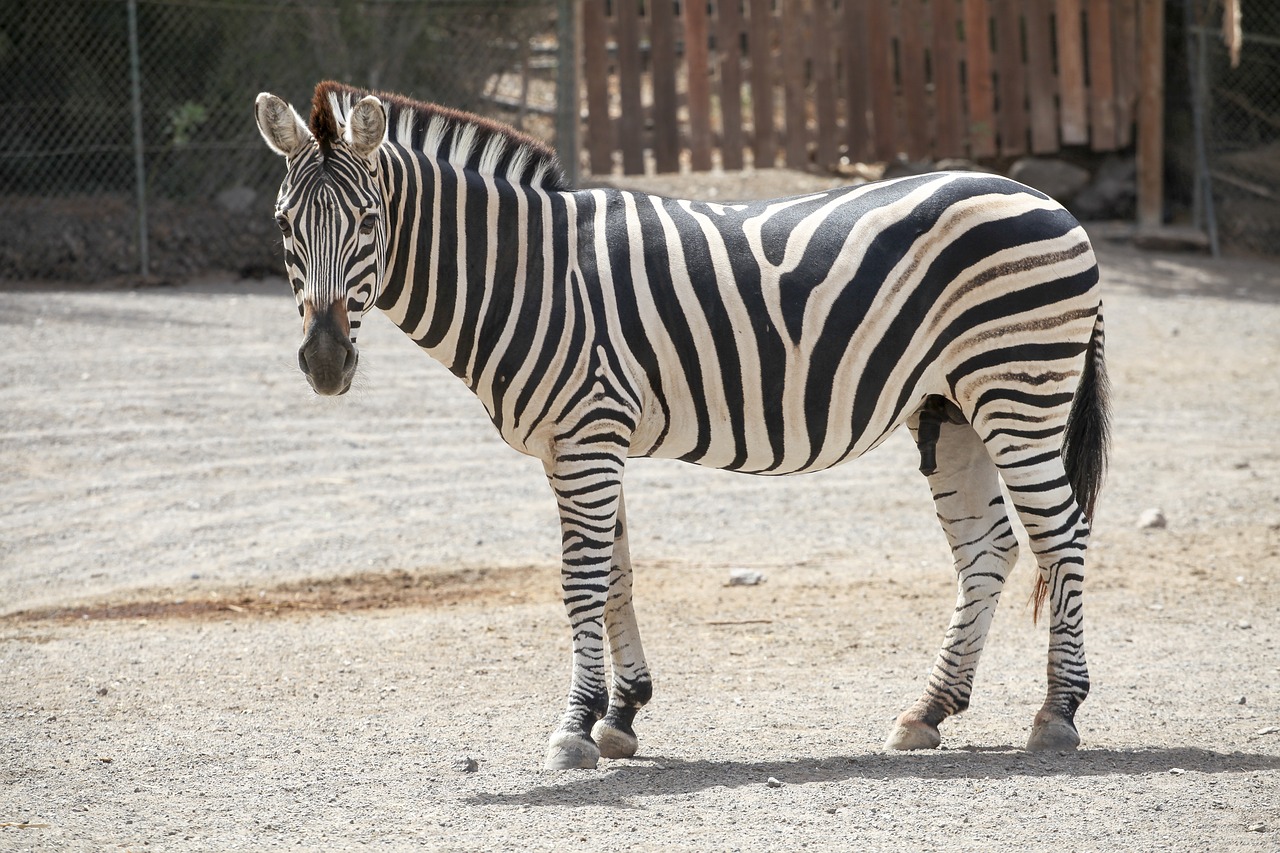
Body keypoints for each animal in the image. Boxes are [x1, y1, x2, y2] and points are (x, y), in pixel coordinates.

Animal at [254, 83, 1105, 768]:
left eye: (369, 220)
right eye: (284, 222)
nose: (325, 362)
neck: (526, 275)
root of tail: (1051, 202)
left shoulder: (588, 434)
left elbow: (581, 578)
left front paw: (574, 726)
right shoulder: (579, 442)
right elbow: (616, 573)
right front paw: (622, 713)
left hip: (1018, 391)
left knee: (1060, 535)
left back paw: (1057, 712)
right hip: (950, 408)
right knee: (988, 549)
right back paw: (927, 711)